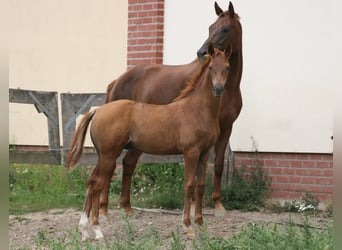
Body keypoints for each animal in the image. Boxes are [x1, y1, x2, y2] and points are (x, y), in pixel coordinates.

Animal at [67, 46, 232, 239]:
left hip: (102, 156)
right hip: (108, 155)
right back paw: (97, 230)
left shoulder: (204, 154)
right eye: (211, 67)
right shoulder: (190, 153)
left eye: (227, 67)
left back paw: (85, 229)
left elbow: (200, 186)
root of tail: (98, 110)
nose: (218, 89)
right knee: (97, 184)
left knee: (92, 182)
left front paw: (200, 223)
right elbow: (189, 185)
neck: (197, 110)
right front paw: (188, 226)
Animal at [104, 0, 243, 217]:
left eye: (225, 28)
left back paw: (126, 205)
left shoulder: (226, 128)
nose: (202, 52)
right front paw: (194, 206)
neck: (226, 88)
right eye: (210, 27)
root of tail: (117, 81)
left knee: (128, 163)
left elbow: (219, 165)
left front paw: (218, 205)